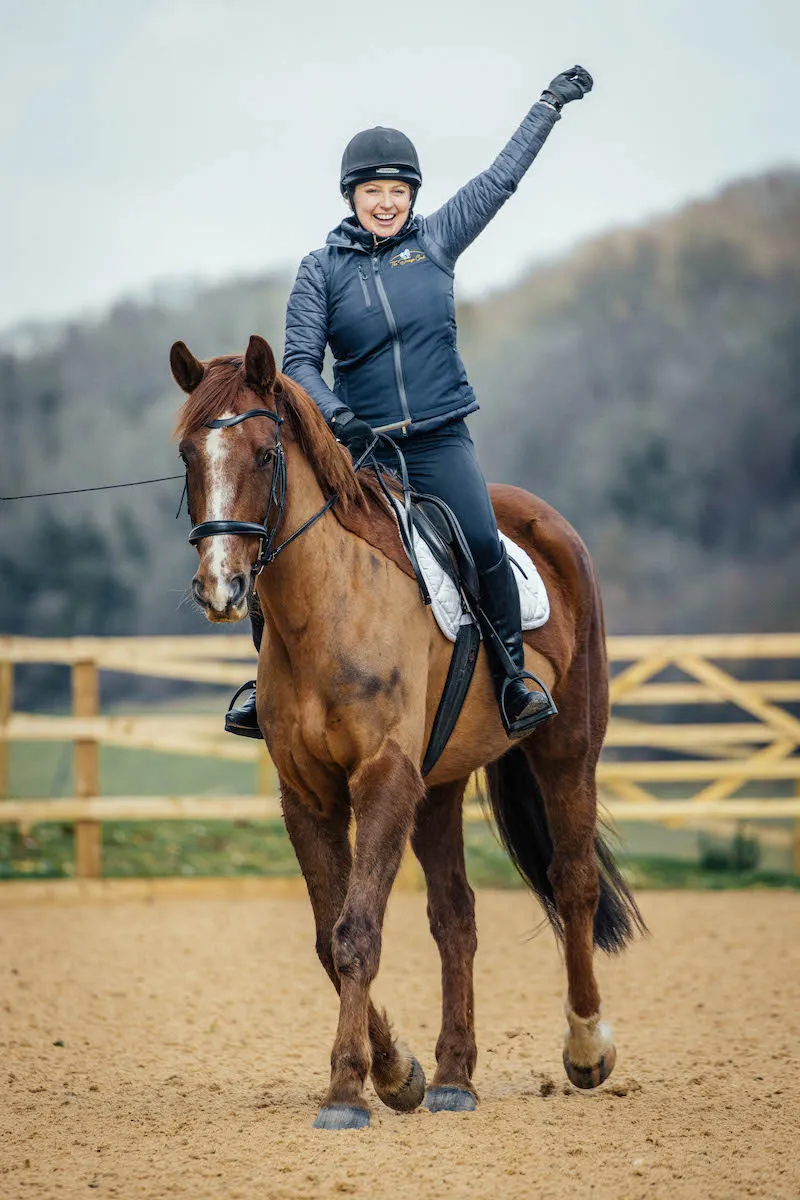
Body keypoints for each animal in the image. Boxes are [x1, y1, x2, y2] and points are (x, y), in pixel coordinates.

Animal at [172, 333, 647, 1128]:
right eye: (186, 454)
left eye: (265, 455)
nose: (220, 586)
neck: (327, 606)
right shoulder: (310, 795)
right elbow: (330, 939)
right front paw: (397, 1073)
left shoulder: (385, 776)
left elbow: (357, 933)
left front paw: (345, 1092)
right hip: (441, 784)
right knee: (456, 916)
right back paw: (455, 1076)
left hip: (567, 749)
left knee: (573, 881)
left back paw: (586, 1049)